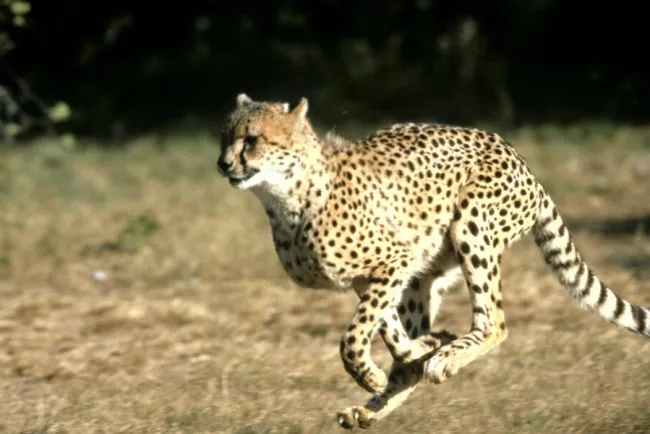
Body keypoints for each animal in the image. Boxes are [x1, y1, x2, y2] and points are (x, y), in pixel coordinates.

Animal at [216, 93, 650, 430]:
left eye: (251, 139)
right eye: (224, 138)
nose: (223, 164)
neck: (286, 197)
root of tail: (518, 158)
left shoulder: (394, 259)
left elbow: (353, 338)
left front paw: (385, 369)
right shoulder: (377, 275)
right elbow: (389, 333)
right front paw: (418, 351)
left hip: (471, 225)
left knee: (494, 321)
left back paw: (445, 360)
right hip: (426, 273)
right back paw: (377, 403)